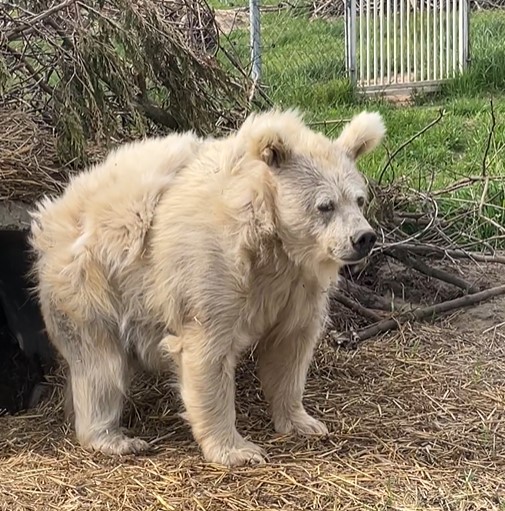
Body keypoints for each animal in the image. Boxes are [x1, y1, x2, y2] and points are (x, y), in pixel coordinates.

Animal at [29, 109, 384, 468]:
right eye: (325, 205)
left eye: (359, 199)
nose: (363, 238)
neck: (268, 241)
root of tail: (54, 209)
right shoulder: (212, 271)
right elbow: (207, 353)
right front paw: (238, 450)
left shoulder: (296, 286)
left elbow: (290, 347)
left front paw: (304, 422)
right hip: (90, 283)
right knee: (100, 366)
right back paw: (114, 438)